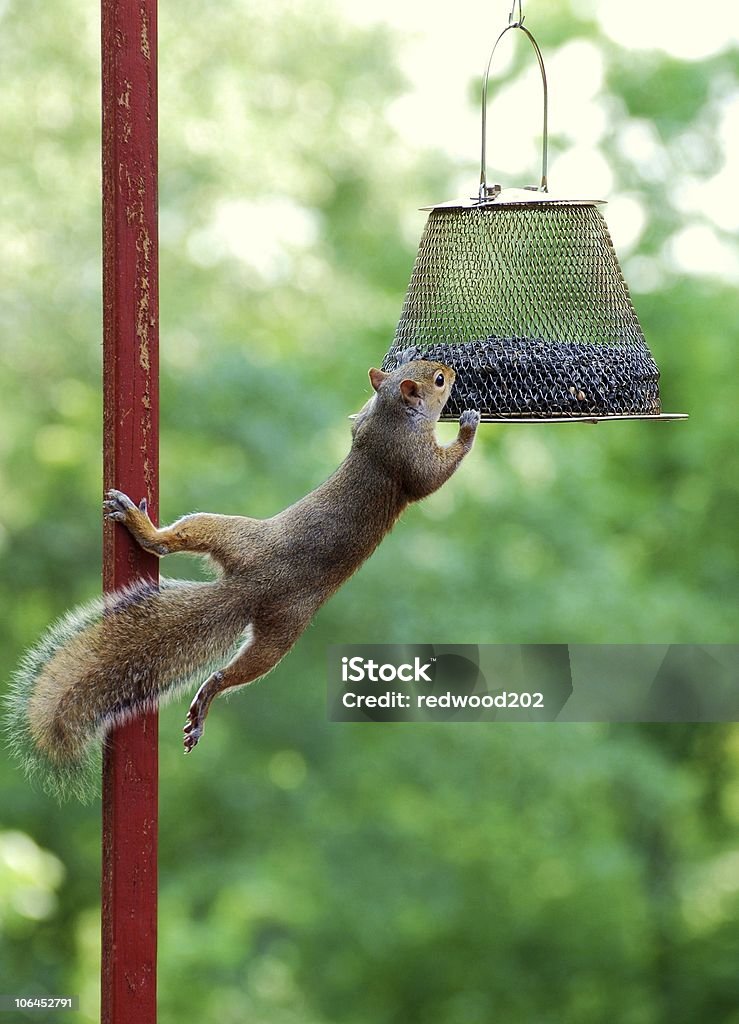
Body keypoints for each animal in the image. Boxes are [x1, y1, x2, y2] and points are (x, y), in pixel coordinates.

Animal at [5, 360, 481, 798]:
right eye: (439, 380)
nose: (454, 370)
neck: (391, 417)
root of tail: (248, 586)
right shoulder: (409, 458)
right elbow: (430, 477)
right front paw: (468, 427)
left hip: (229, 541)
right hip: (280, 621)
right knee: (231, 657)